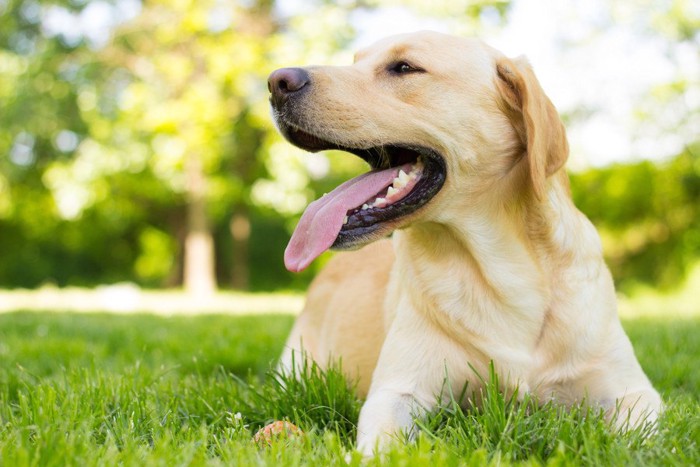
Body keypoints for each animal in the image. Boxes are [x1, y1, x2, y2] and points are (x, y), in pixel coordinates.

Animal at [266, 30, 660, 458]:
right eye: (354, 61)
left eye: (404, 67)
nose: (276, 82)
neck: (503, 271)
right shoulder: (398, 391)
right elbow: (383, 443)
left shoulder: (635, 393)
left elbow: (635, 440)